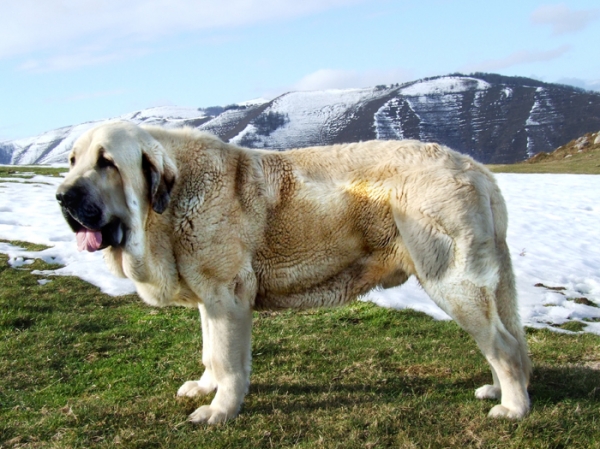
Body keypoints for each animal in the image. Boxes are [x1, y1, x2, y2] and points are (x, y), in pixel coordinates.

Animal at [56, 121, 532, 422]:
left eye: (107, 162)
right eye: (73, 161)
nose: (62, 196)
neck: (169, 205)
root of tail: (474, 167)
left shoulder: (228, 298)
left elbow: (228, 361)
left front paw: (219, 411)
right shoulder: (210, 298)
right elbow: (210, 352)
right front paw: (205, 387)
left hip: (451, 279)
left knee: (504, 345)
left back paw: (513, 407)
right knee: (501, 338)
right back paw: (501, 390)